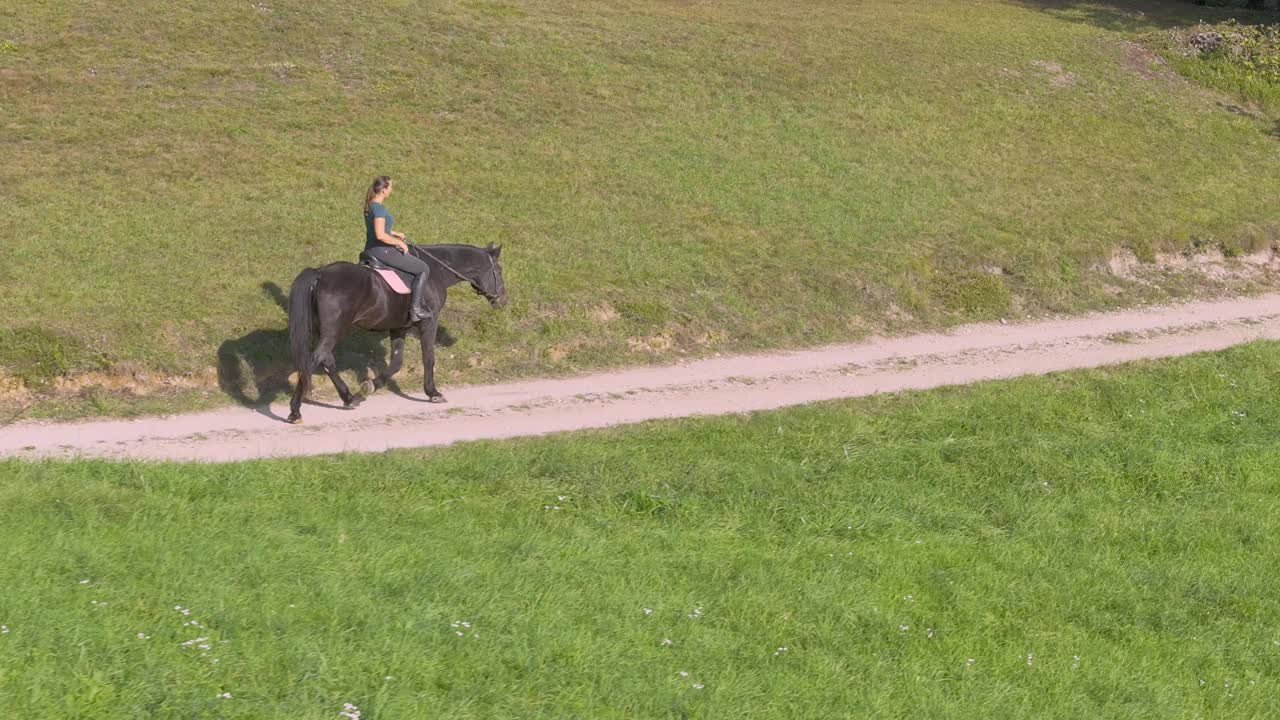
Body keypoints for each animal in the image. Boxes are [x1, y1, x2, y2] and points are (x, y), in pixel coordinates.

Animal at [288, 240, 506, 420]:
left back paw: (349, 398)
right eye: (499, 270)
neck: (437, 271)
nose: (503, 300)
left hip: (326, 332)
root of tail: (320, 273)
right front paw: (433, 393)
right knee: (315, 359)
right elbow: (428, 358)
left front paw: (370, 386)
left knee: (326, 360)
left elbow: (396, 363)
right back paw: (295, 410)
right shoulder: (429, 323)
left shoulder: (399, 327)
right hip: (334, 331)